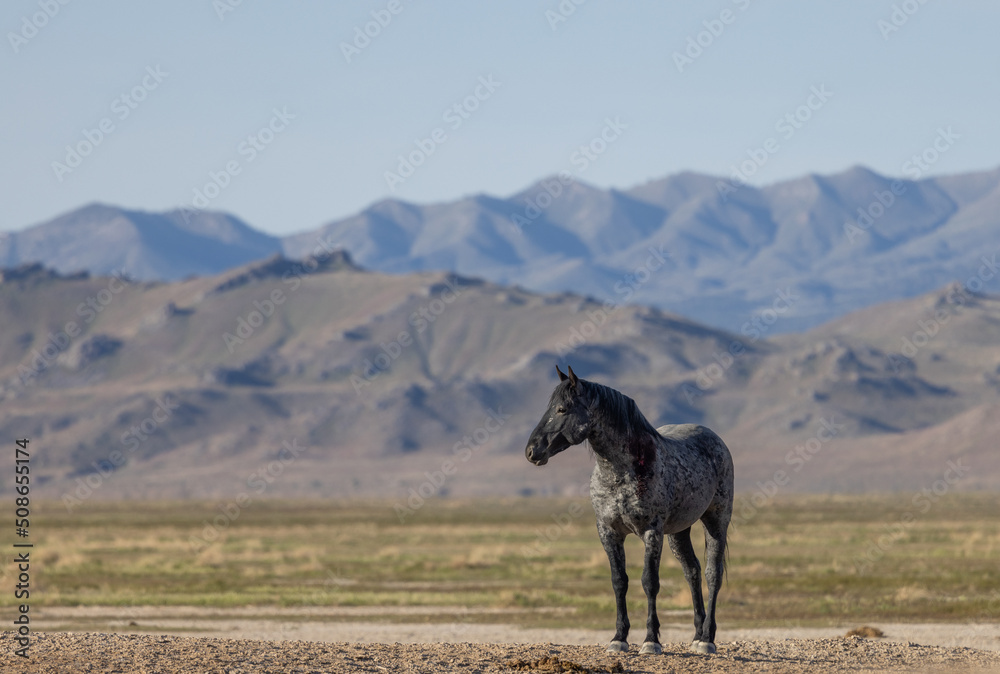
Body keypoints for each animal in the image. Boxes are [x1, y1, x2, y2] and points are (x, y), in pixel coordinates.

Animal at [524, 365, 734, 656]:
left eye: (562, 409)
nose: (532, 451)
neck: (621, 471)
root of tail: (715, 439)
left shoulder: (651, 532)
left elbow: (649, 581)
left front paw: (651, 640)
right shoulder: (608, 532)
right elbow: (619, 581)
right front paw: (619, 638)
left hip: (716, 520)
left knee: (712, 573)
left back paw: (706, 639)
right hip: (678, 531)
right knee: (691, 571)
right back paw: (696, 634)